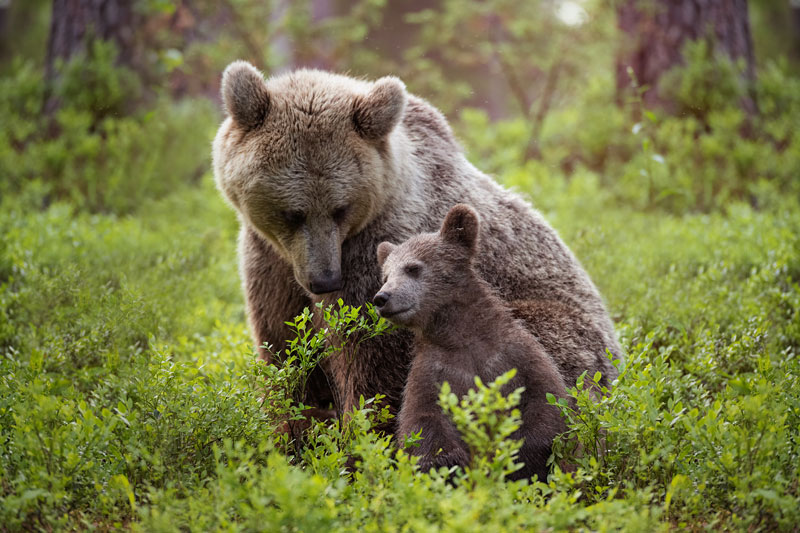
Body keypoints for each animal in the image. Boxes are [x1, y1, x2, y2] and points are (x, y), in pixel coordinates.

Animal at [211, 61, 621, 429]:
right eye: (292, 213)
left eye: (340, 208)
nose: (324, 279)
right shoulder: (269, 262)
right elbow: (286, 354)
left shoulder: (377, 257)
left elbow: (373, 368)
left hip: (570, 340)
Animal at [373, 204, 568, 481]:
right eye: (386, 275)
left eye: (412, 268)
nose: (382, 298)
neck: (462, 338)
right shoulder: (433, 373)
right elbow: (421, 424)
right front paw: (450, 464)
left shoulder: (516, 355)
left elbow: (545, 405)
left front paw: (518, 457)